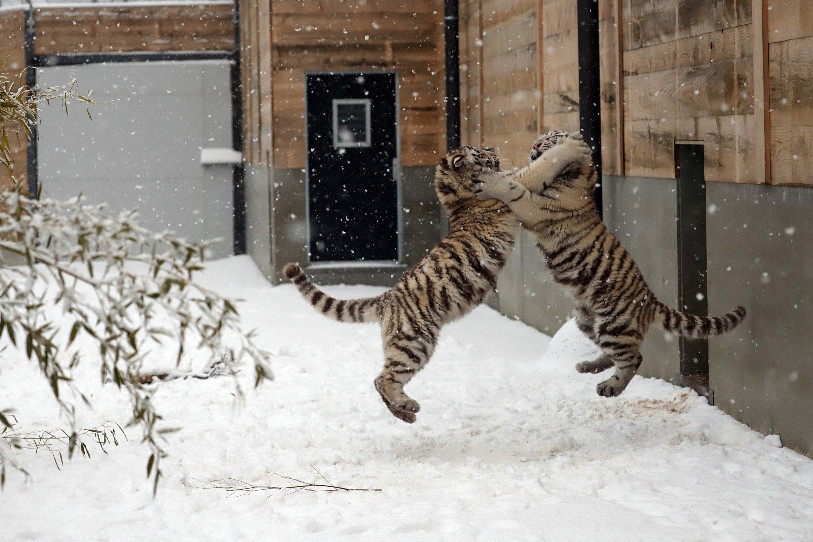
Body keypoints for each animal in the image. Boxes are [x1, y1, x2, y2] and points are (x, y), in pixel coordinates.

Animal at [284, 145, 577, 423]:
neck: (455, 193)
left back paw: (406, 412)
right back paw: (407, 407)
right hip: (415, 342)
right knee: (383, 378)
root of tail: (387, 297)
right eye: (479, 152)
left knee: (381, 379)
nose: (493, 150)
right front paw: (565, 149)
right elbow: (534, 169)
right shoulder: (508, 185)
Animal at [471, 130, 746, 398]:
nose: (535, 144)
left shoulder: (535, 206)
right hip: (587, 320)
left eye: (551, 138)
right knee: (616, 353)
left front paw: (491, 181)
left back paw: (610, 387)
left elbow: (514, 187)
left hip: (614, 324)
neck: (576, 174)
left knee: (633, 358)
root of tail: (651, 300)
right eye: (541, 138)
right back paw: (588, 366)